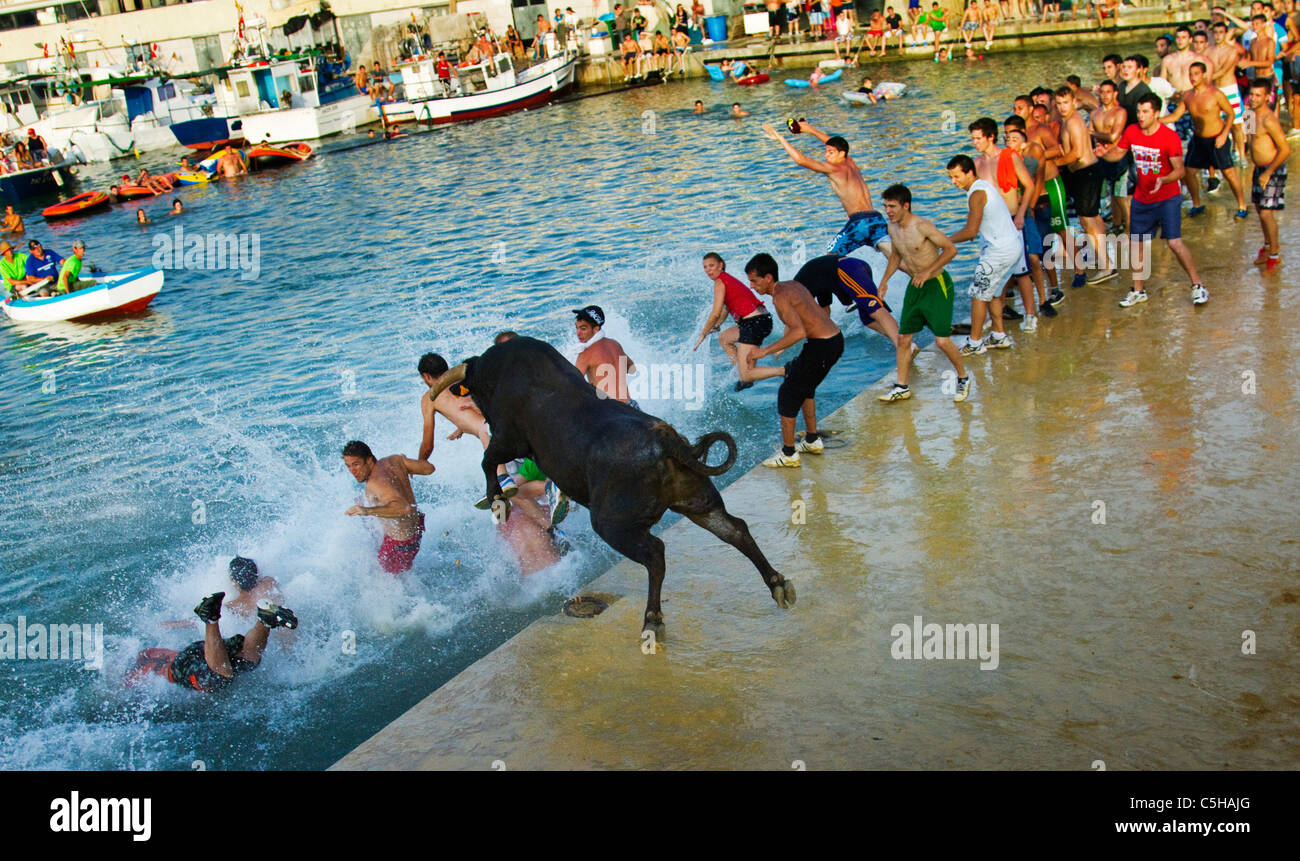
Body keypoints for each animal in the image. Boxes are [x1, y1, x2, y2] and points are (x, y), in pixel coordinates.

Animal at [431, 338, 790, 639]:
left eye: (476, 391)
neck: (499, 369)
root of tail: (667, 441)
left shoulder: (508, 439)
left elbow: (487, 461)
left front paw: (498, 501)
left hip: (612, 524)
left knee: (656, 553)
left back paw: (652, 620)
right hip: (697, 500)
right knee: (734, 529)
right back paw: (778, 584)